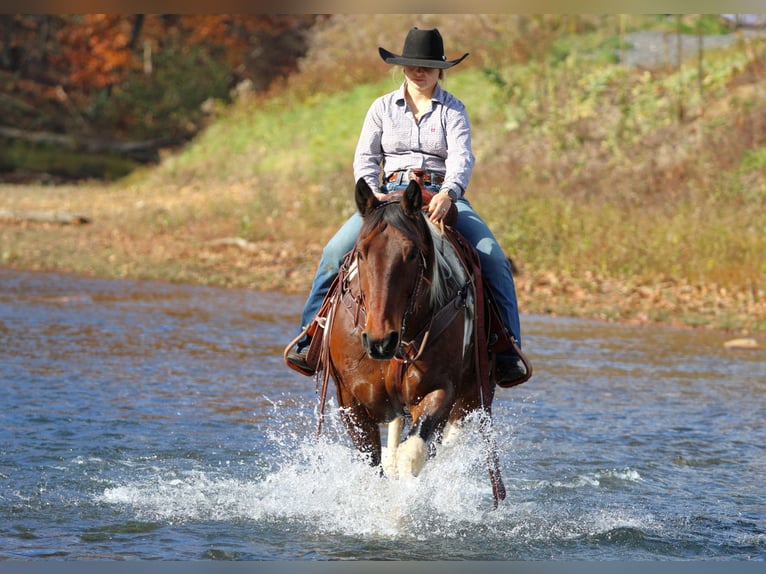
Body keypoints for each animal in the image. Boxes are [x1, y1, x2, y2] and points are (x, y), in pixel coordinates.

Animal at [311, 177, 507, 506]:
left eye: (413, 253)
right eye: (361, 252)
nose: (380, 341)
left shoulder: (440, 392)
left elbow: (412, 455)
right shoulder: (349, 400)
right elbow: (374, 463)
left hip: (472, 397)